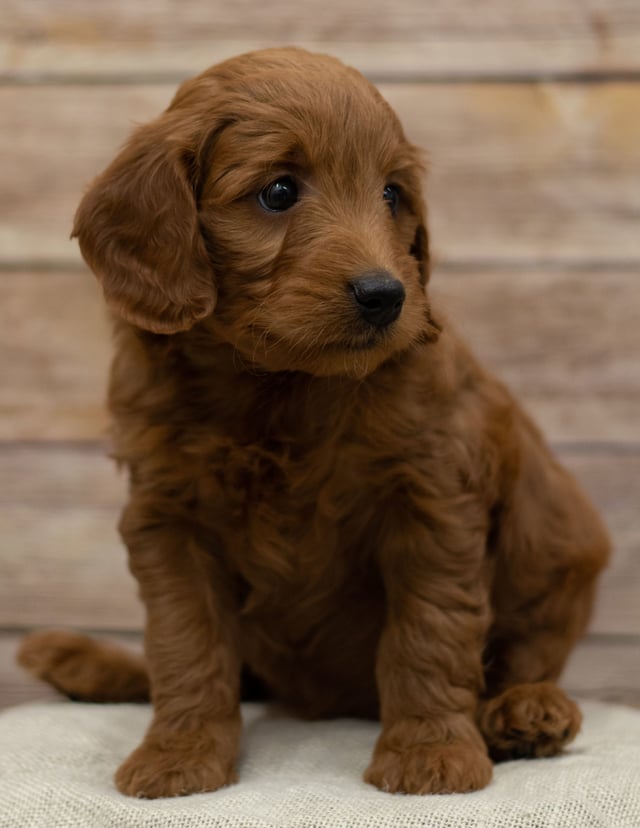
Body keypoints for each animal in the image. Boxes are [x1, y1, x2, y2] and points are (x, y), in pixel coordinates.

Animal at [18, 48, 608, 800]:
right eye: (278, 192)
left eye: (392, 195)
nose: (387, 295)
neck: (276, 382)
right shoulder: (168, 516)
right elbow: (185, 642)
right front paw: (179, 755)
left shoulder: (432, 498)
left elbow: (428, 631)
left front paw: (431, 754)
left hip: (556, 539)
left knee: (533, 649)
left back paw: (525, 713)